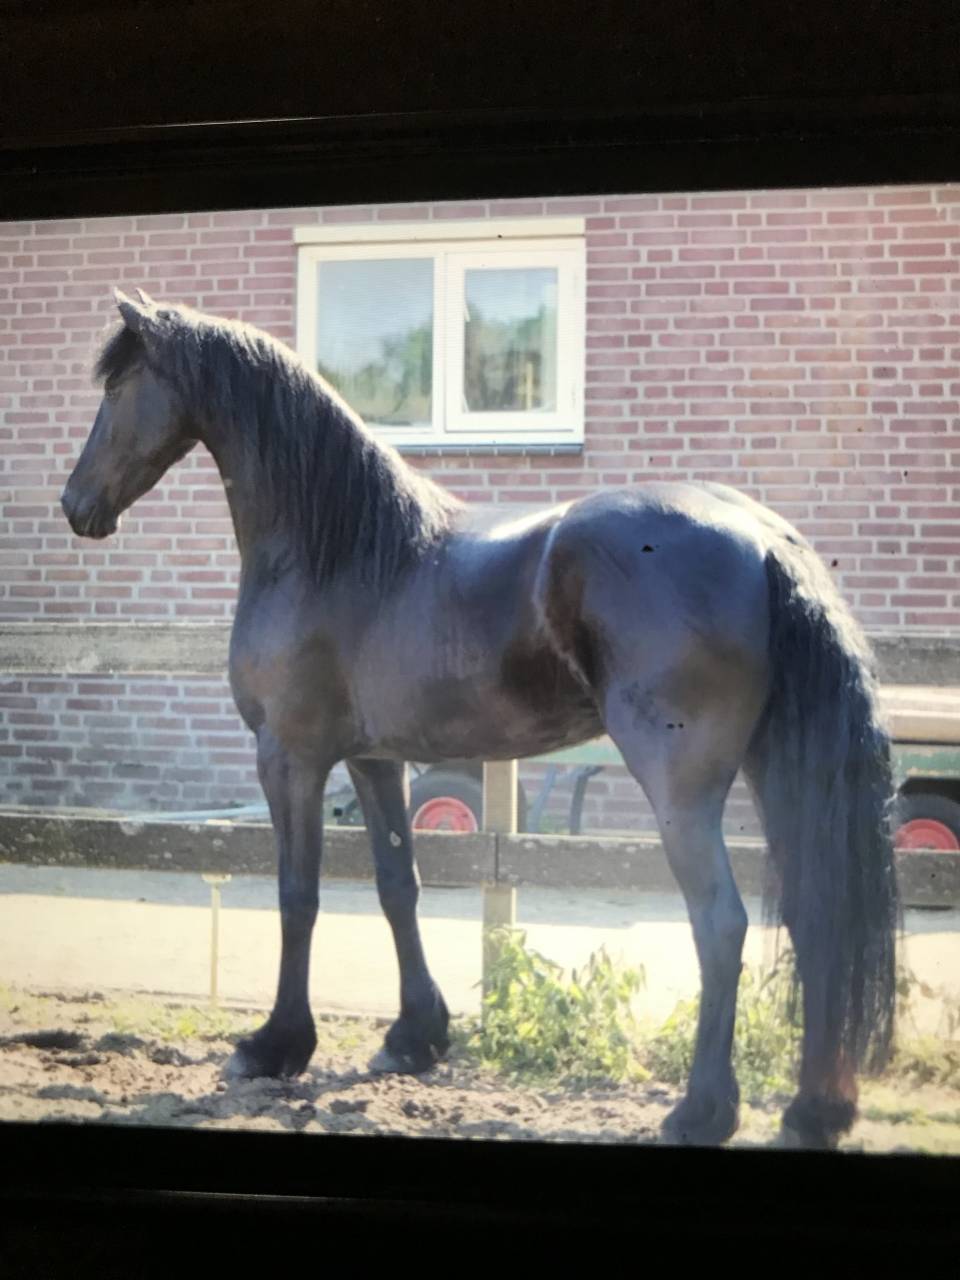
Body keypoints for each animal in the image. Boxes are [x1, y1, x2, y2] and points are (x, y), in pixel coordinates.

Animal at [60, 288, 898, 1150]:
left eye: (118, 386)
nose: (75, 505)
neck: (340, 550)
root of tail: (762, 540)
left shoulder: (288, 756)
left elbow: (298, 894)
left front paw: (275, 1046)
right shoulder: (373, 758)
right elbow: (398, 884)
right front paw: (414, 1037)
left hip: (681, 788)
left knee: (720, 924)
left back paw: (702, 1110)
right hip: (777, 771)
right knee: (815, 915)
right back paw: (813, 1113)